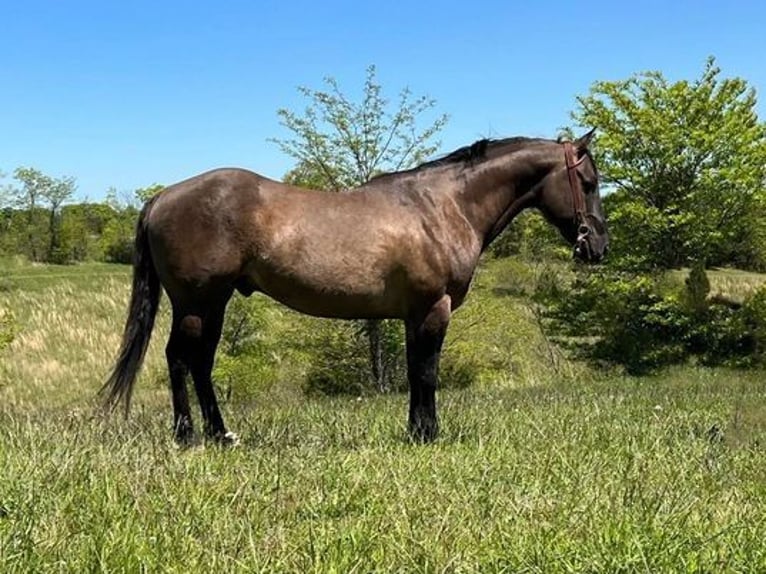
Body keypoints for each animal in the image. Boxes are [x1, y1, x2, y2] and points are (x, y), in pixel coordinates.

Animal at [102, 130, 608, 445]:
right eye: (588, 181)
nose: (598, 246)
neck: (442, 206)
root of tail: (162, 197)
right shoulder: (433, 308)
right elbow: (427, 372)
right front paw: (429, 435)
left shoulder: (414, 314)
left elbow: (414, 372)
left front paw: (416, 431)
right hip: (198, 301)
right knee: (180, 359)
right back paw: (189, 435)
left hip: (213, 304)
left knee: (200, 363)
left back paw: (221, 435)